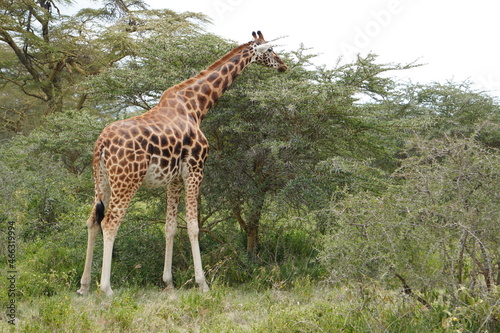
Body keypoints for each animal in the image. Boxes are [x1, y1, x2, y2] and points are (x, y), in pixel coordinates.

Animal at [78, 31, 290, 296]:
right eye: (270, 50)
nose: (283, 66)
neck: (195, 107)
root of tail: (102, 144)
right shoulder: (195, 170)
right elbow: (192, 226)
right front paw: (203, 283)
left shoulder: (174, 179)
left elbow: (170, 227)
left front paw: (168, 283)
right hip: (127, 180)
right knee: (110, 223)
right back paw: (106, 288)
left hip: (101, 181)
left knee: (92, 221)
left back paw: (84, 286)